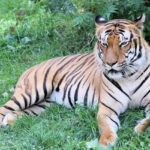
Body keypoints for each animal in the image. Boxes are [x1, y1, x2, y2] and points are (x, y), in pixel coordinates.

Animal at [0, 13, 150, 147]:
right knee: (4, 109)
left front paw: (139, 127)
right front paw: (105, 143)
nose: (110, 63)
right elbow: (106, 126)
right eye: (104, 44)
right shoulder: (107, 108)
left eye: (123, 43)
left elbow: (149, 120)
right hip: (31, 93)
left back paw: (10, 120)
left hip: (44, 105)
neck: (128, 76)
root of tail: (31, 67)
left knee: (19, 112)